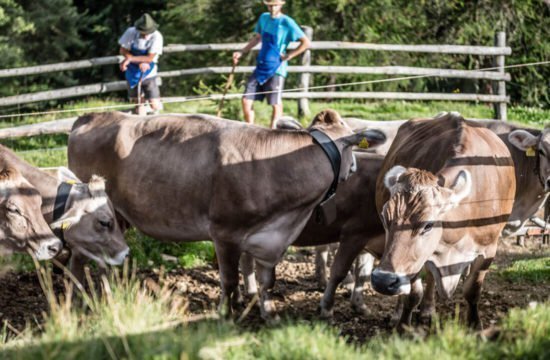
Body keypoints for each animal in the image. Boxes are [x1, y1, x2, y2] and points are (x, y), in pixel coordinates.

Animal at [68, 110, 388, 320]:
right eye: (351, 146)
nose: (355, 167)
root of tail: (93, 115)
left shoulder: (272, 239)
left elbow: (267, 280)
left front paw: (269, 314)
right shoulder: (224, 233)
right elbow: (230, 279)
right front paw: (225, 313)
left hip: (117, 218)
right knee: (82, 257)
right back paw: (86, 296)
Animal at [376, 112, 516, 330]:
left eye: (428, 224)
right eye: (385, 217)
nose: (382, 280)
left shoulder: (489, 249)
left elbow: (472, 290)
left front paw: (475, 325)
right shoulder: (414, 259)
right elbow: (412, 294)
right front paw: (403, 327)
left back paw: (427, 310)